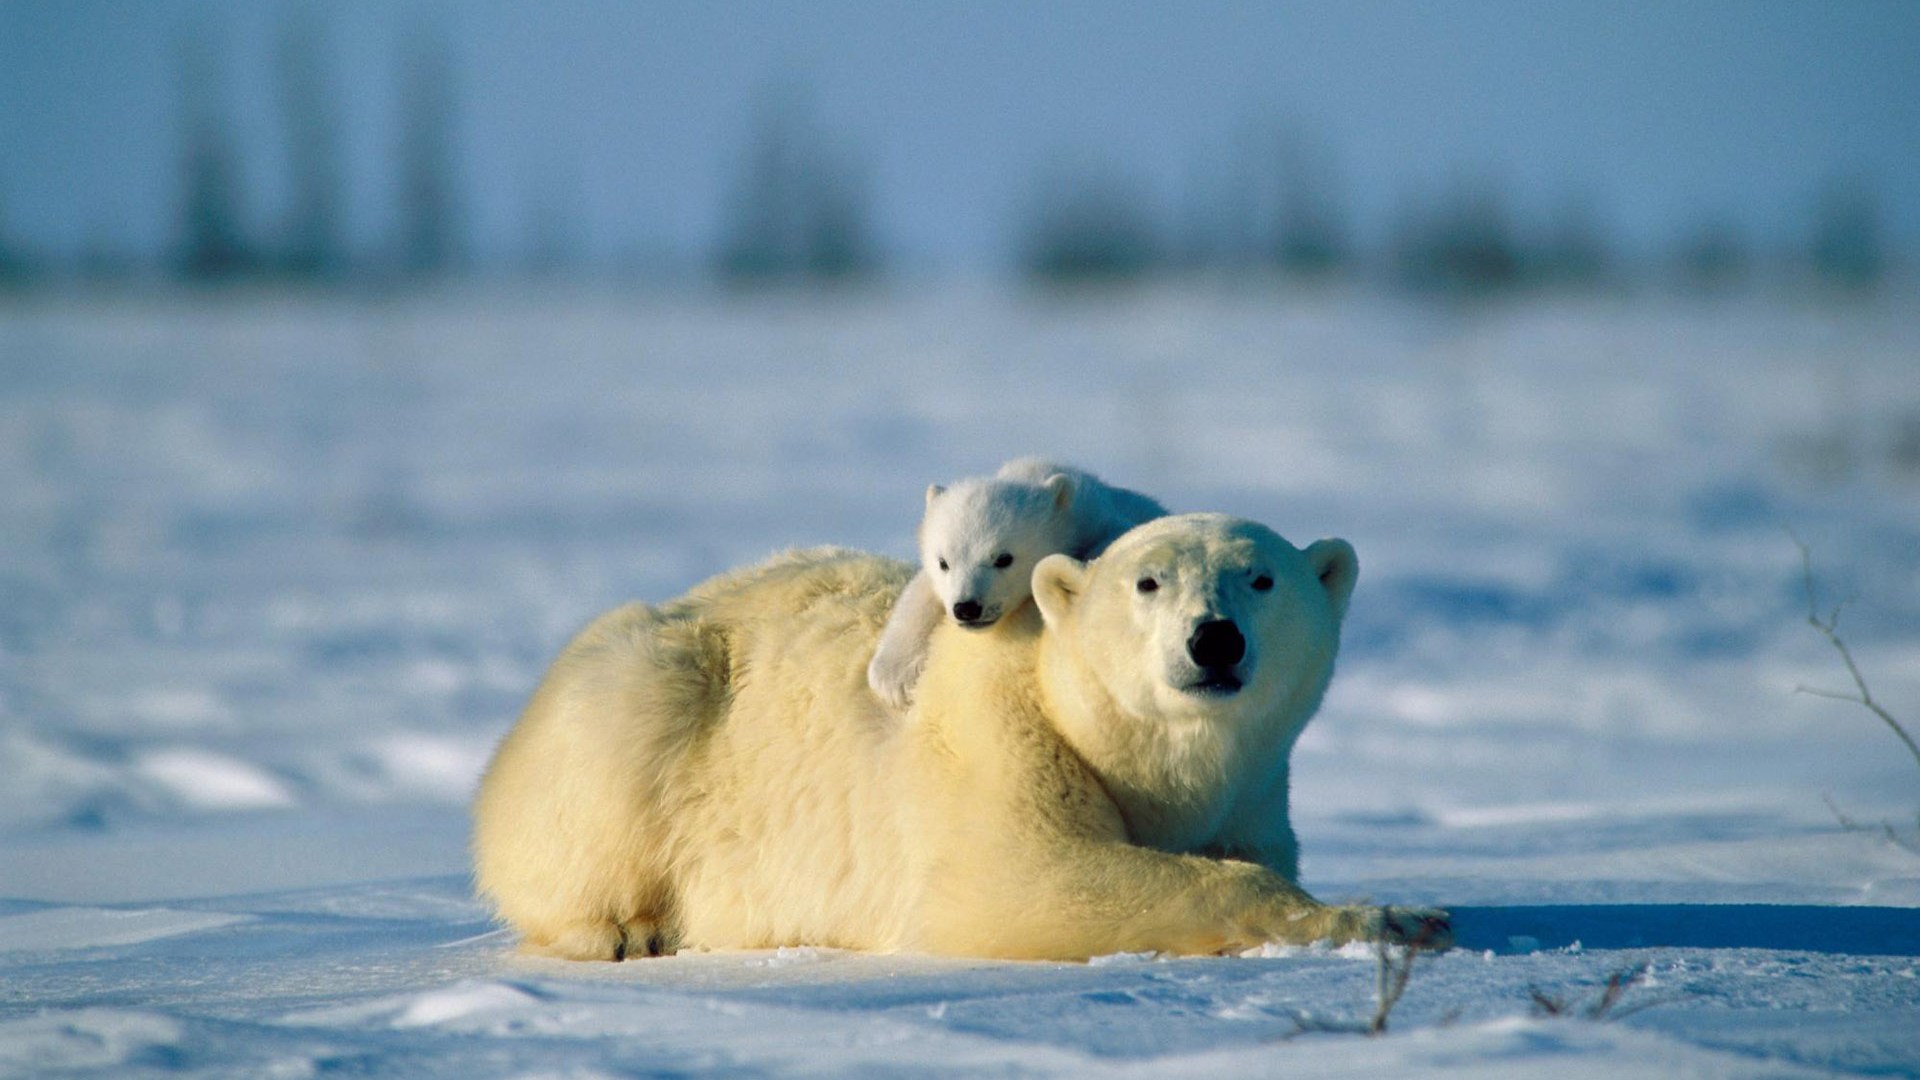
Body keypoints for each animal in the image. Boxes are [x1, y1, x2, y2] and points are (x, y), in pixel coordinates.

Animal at [469, 513, 1450, 961]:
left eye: (1262, 577)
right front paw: (1395, 915)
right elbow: (1028, 877)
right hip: (645, 691)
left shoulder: (1252, 792)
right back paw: (626, 929)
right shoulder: (998, 738)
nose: (1214, 640)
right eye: (1149, 582)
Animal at [865, 458, 1167, 711]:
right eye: (943, 562)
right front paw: (895, 678)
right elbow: (919, 592)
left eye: (1003, 558)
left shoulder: (1101, 518)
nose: (967, 608)